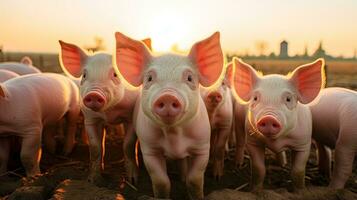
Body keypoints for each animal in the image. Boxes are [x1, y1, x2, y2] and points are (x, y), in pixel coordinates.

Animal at [57, 38, 152, 184]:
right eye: (84, 75)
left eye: (115, 74)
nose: (94, 94)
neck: (109, 113)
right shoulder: (91, 119)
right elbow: (95, 148)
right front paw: (93, 180)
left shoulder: (130, 118)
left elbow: (128, 145)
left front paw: (133, 180)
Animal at [115, 30, 222, 198]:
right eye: (149, 78)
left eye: (189, 78)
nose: (167, 96)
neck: (174, 135)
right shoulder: (150, 149)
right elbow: (161, 182)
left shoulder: (203, 146)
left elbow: (195, 180)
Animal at [229, 57, 324, 191]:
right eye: (255, 98)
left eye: (288, 99)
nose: (269, 118)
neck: (276, 141)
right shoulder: (253, 142)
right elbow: (258, 169)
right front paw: (256, 191)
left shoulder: (304, 143)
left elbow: (298, 171)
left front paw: (300, 191)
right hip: (238, 121)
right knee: (241, 142)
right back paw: (238, 164)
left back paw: (283, 164)